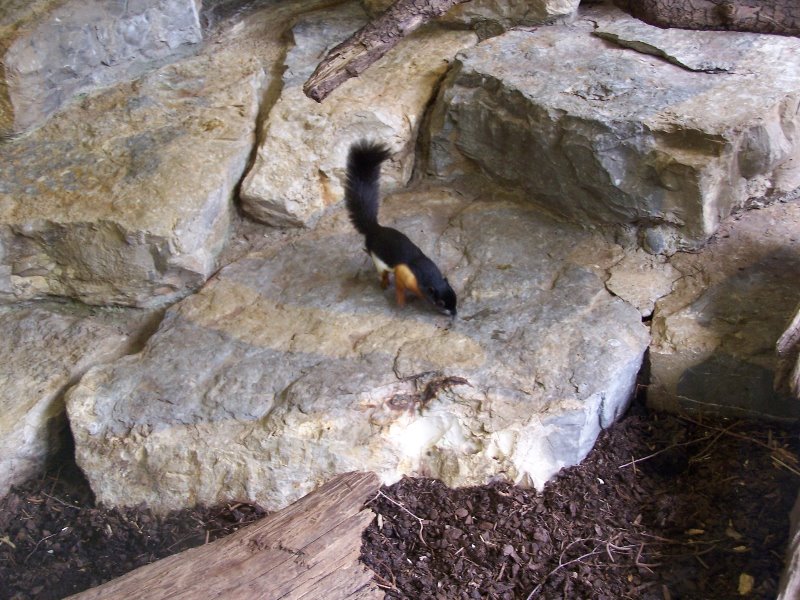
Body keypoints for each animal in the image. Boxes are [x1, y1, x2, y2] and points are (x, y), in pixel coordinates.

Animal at [345, 141, 457, 317]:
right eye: (440, 303)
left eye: (455, 296)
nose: (454, 313)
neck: (425, 274)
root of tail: (374, 229)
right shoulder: (404, 273)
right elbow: (400, 286)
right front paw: (401, 300)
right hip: (379, 260)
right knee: (380, 269)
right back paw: (384, 283)